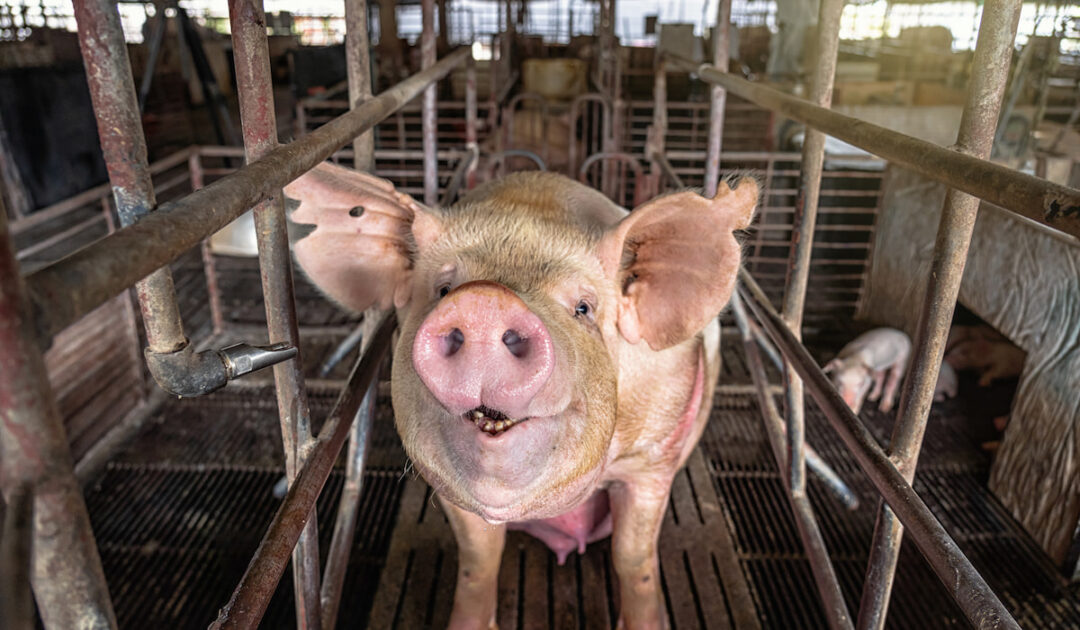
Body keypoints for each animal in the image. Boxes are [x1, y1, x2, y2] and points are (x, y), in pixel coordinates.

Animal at [284, 162, 758, 629]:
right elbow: (479, 559)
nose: (484, 301)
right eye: (443, 290)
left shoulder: (653, 457)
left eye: (583, 308)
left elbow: (633, 558)